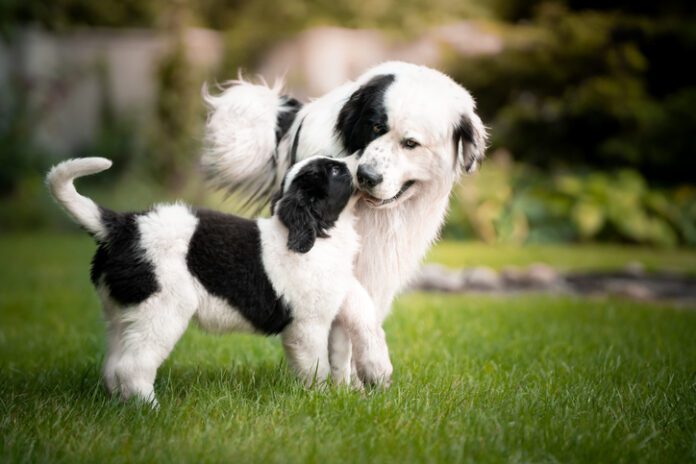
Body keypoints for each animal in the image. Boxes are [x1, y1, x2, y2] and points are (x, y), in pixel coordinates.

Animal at [46, 154, 358, 404]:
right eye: (334, 171)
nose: (360, 163)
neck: (318, 233)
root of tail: (125, 227)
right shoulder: (308, 325)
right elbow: (316, 366)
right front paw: (321, 398)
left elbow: (334, 360)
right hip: (161, 311)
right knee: (132, 366)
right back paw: (150, 409)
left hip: (122, 315)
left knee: (113, 366)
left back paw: (121, 406)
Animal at [201, 60, 486, 388]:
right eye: (376, 128)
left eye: (411, 143)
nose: (366, 176)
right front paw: (348, 382)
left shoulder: (380, 267)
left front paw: (356, 380)